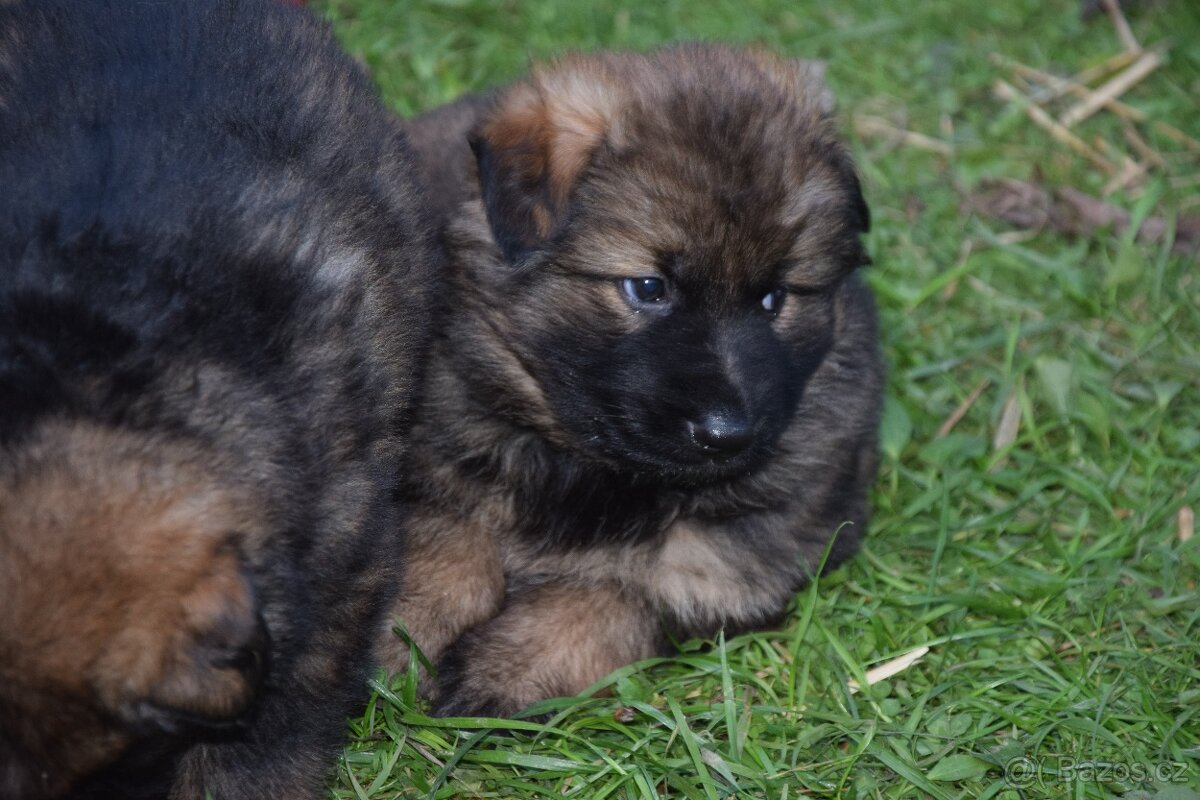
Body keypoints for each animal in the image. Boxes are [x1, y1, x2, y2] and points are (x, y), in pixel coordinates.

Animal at [388, 45, 888, 719]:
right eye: (648, 287)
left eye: (774, 297)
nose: (728, 435)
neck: (588, 469)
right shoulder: (434, 458)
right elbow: (441, 544)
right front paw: (399, 634)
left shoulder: (744, 552)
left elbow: (619, 594)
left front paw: (506, 668)